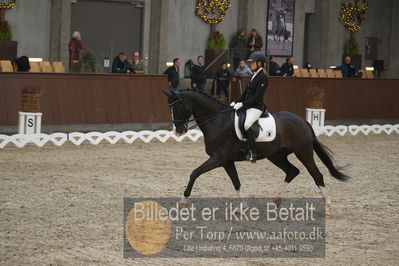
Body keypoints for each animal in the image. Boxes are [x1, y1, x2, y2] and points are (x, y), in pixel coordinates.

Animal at [163, 88, 350, 215]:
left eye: (179, 107)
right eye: (170, 108)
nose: (178, 131)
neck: (217, 120)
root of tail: (303, 121)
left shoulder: (218, 158)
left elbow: (194, 173)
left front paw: (183, 200)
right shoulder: (226, 161)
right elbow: (236, 182)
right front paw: (242, 208)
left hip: (303, 153)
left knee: (316, 175)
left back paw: (327, 206)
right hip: (276, 156)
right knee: (292, 171)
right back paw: (275, 200)